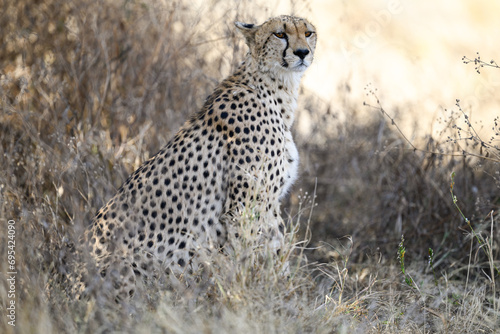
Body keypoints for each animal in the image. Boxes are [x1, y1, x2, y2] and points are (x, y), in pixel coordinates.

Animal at [79, 14, 314, 302]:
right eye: (280, 34)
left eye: (308, 33)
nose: (302, 52)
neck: (274, 87)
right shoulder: (246, 205)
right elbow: (255, 253)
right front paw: (257, 292)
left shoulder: (267, 202)